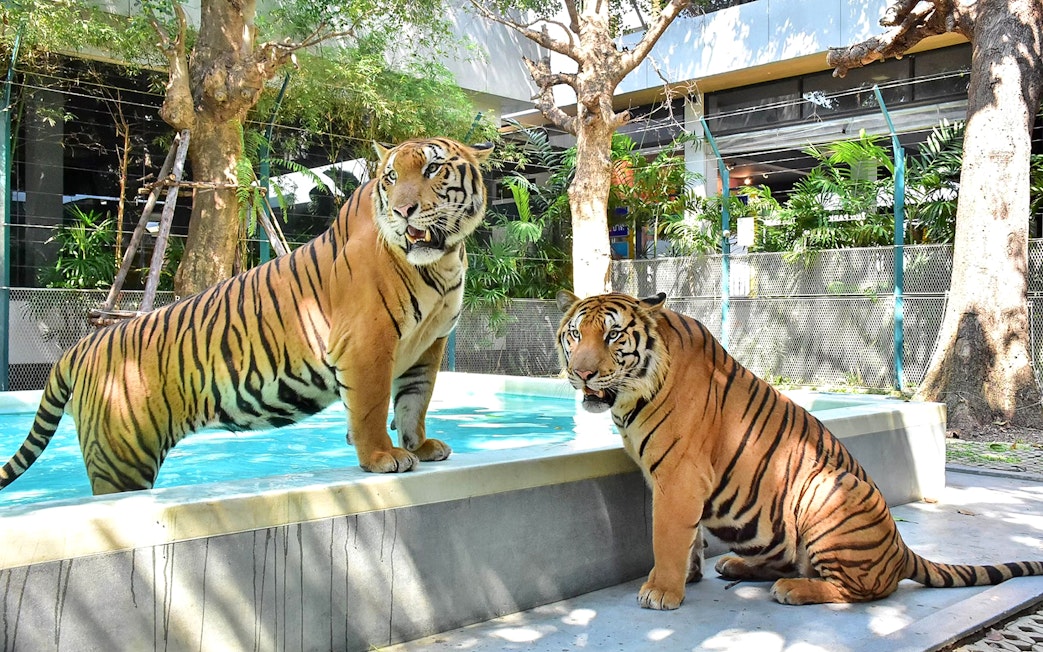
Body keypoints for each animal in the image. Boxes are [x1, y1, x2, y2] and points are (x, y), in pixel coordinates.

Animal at [0, 137, 493, 495]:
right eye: (391, 178)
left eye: (432, 169)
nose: (404, 210)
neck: (443, 261)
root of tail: (82, 346)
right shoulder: (367, 342)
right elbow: (372, 407)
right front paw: (381, 457)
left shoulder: (429, 345)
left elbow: (415, 401)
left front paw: (420, 446)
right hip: (121, 460)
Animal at [555, 290, 1043, 609]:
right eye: (575, 335)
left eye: (614, 336)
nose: (581, 374)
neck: (632, 393)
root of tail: (900, 548)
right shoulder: (672, 479)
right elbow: (688, 538)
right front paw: (689, 576)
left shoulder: (679, 477)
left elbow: (667, 537)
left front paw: (662, 591)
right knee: (790, 562)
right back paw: (734, 566)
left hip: (828, 487)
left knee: (861, 590)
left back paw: (793, 591)